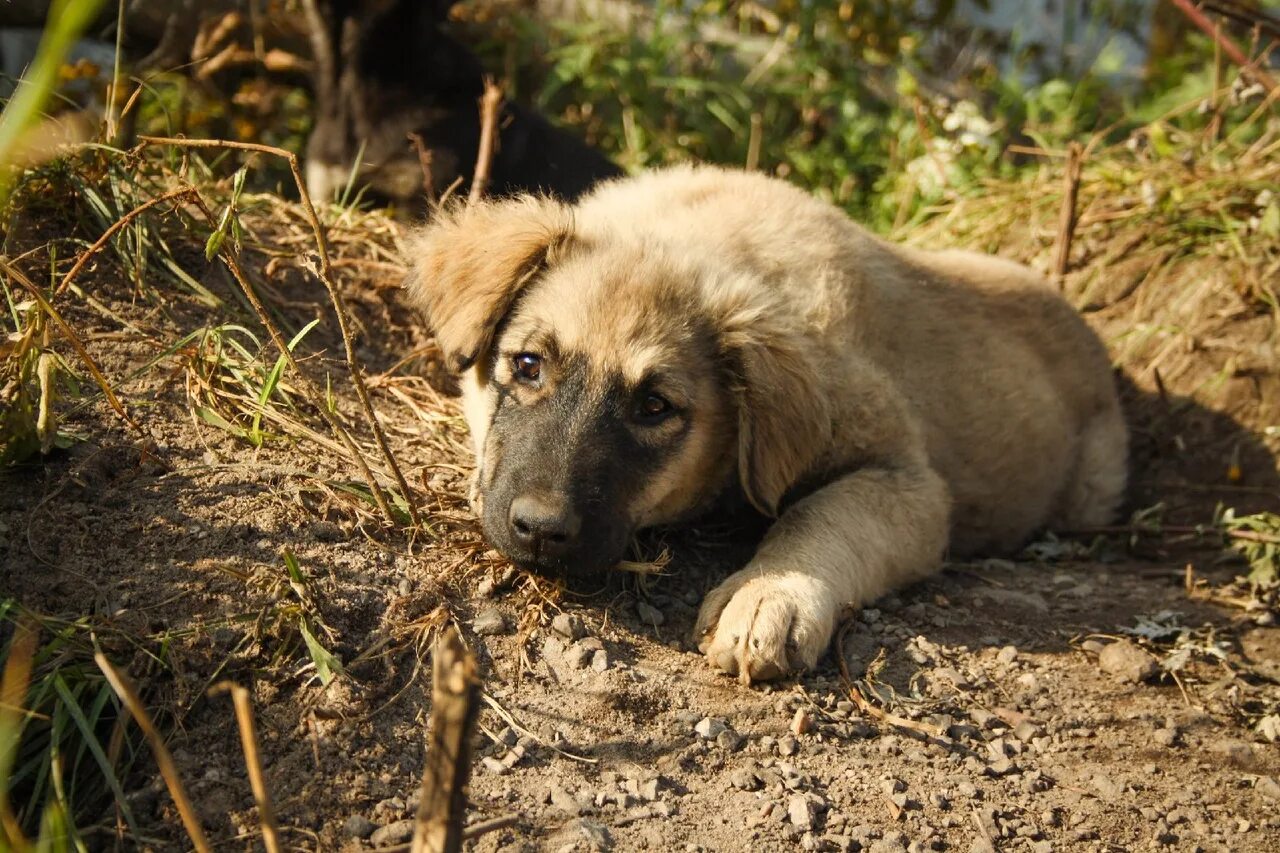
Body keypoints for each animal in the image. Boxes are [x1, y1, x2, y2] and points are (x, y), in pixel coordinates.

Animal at [404, 163, 1126, 686]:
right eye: (528, 365)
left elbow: (818, 513)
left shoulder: (907, 480)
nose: (541, 529)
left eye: (654, 407)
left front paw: (769, 595)